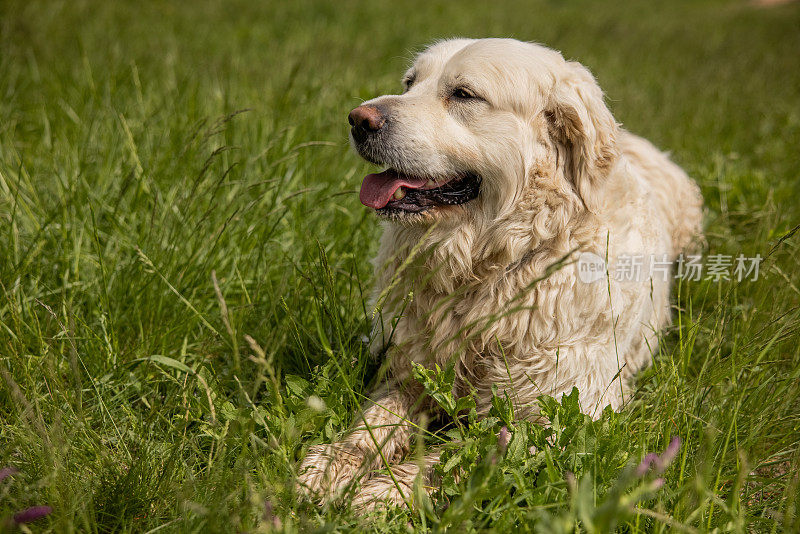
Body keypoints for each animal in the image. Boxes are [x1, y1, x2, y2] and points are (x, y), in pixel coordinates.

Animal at [296, 36, 704, 510]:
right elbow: (370, 427)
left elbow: (461, 456)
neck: (496, 264)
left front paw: (383, 495)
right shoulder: (412, 371)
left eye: (464, 94)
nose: (359, 119)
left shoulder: (559, 414)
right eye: (410, 82)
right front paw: (329, 470)